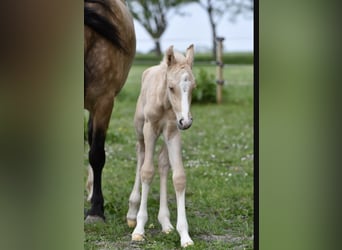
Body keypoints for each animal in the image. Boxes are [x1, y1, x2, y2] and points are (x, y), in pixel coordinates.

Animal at [126, 45, 196, 248]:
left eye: (194, 87)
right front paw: (139, 229)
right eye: (171, 87)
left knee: (163, 165)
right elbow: (147, 172)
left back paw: (165, 222)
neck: (165, 103)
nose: (186, 121)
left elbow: (179, 177)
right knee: (141, 157)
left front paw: (185, 236)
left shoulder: (173, 132)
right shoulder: (150, 129)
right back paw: (132, 213)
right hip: (140, 131)